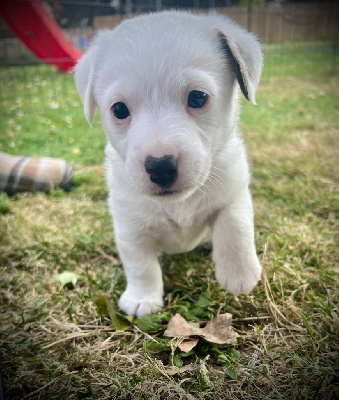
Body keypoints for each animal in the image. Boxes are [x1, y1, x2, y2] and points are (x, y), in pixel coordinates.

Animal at [75, 11, 264, 316]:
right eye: (119, 109)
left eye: (197, 97)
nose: (160, 167)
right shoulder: (130, 228)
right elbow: (141, 265)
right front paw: (142, 298)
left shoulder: (234, 193)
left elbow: (234, 227)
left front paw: (239, 275)